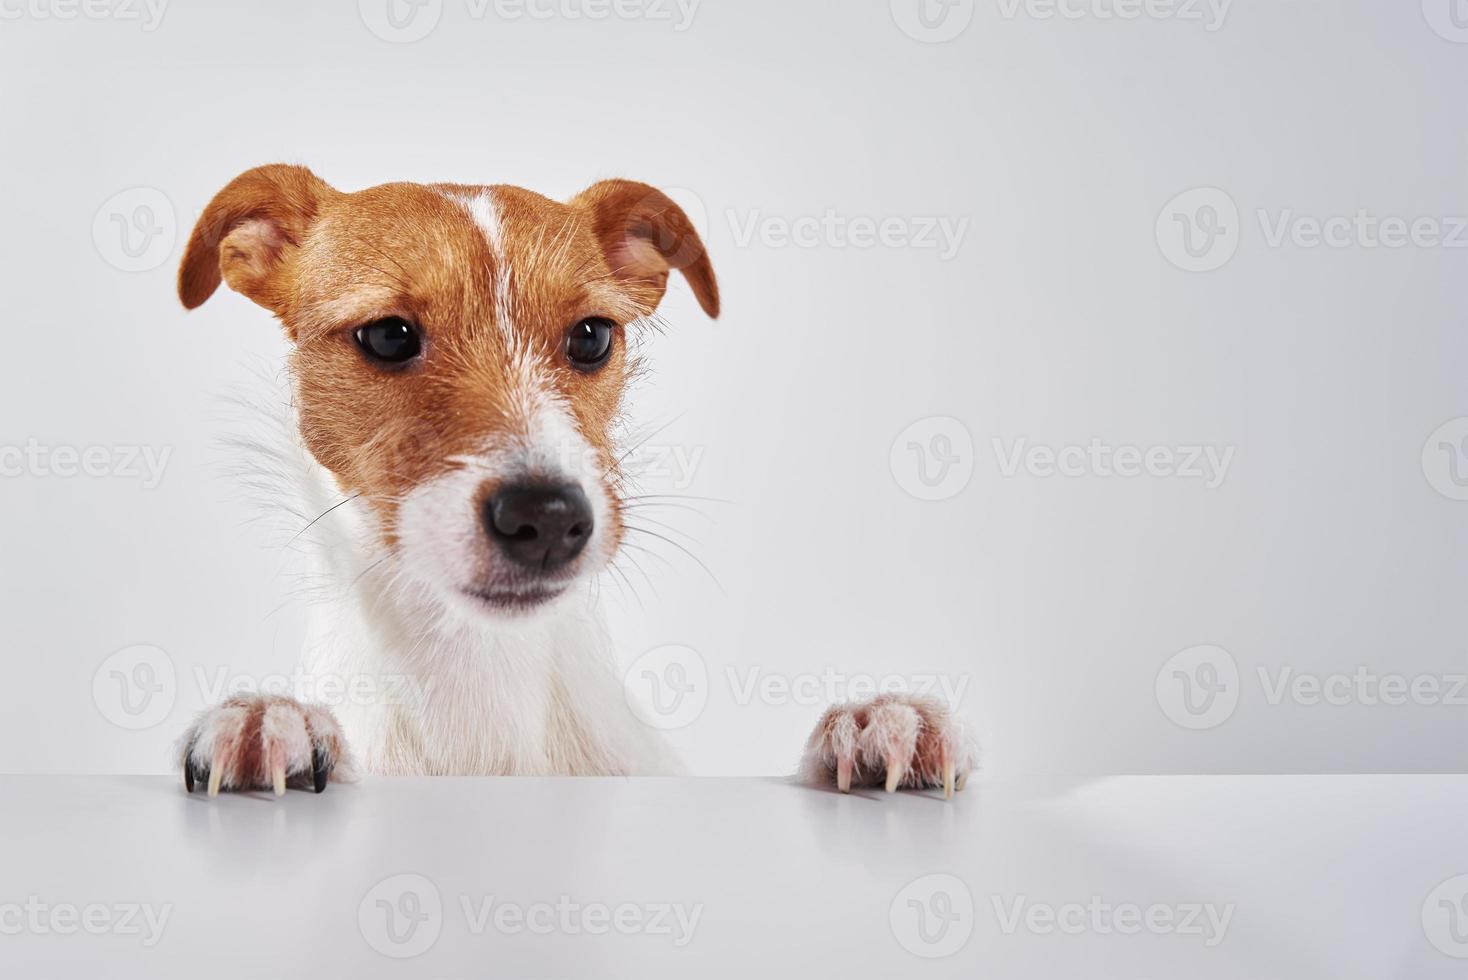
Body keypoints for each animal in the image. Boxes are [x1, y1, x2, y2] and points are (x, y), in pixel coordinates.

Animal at [171, 164, 974, 798]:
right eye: (388, 336)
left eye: (591, 336)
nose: (548, 516)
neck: (484, 676)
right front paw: (272, 717)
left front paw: (874, 722)